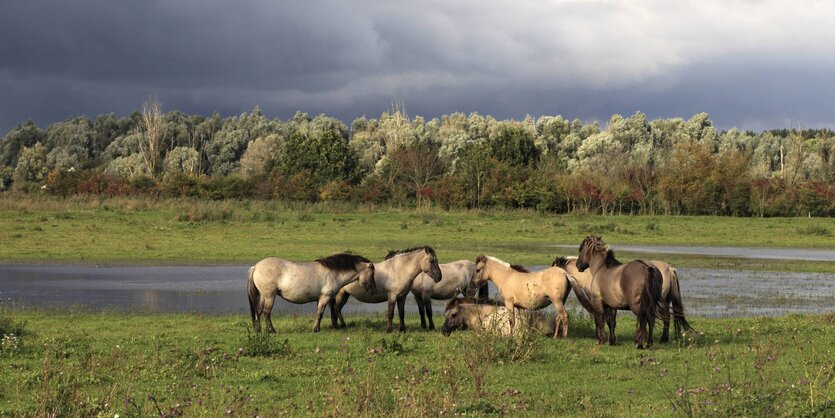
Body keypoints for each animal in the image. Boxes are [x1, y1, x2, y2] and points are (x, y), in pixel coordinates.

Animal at [248, 251, 376, 334]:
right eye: (372, 274)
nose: (373, 290)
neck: (334, 273)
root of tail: (256, 266)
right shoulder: (325, 297)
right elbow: (320, 313)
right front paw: (315, 330)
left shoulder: (322, 299)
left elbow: (323, 313)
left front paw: (322, 328)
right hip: (269, 296)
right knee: (266, 312)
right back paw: (272, 330)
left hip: (263, 296)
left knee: (258, 311)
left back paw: (258, 330)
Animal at [556, 253, 692, 342]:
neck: (594, 273)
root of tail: (670, 269)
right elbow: (610, 320)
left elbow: (601, 319)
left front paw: (601, 337)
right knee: (666, 317)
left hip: (659, 303)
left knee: (664, 317)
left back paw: (660, 339)